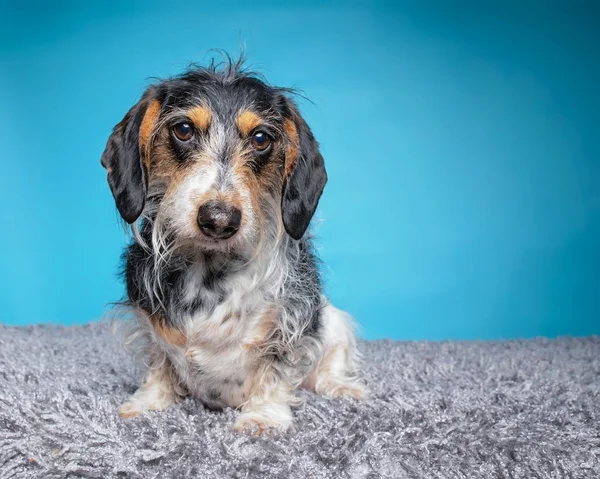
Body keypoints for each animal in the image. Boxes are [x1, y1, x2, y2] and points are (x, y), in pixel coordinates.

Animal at [101, 58, 368, 434]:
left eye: (261, 138)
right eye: (183, 129)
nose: (219, 219)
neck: (209, 272)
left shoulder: (291, 322)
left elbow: (276, 368)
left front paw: (264, 416)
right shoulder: (152, 326)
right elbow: (159, 361)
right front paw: (149, 402)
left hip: (335, 321)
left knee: (329, 367)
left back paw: (344, 387)